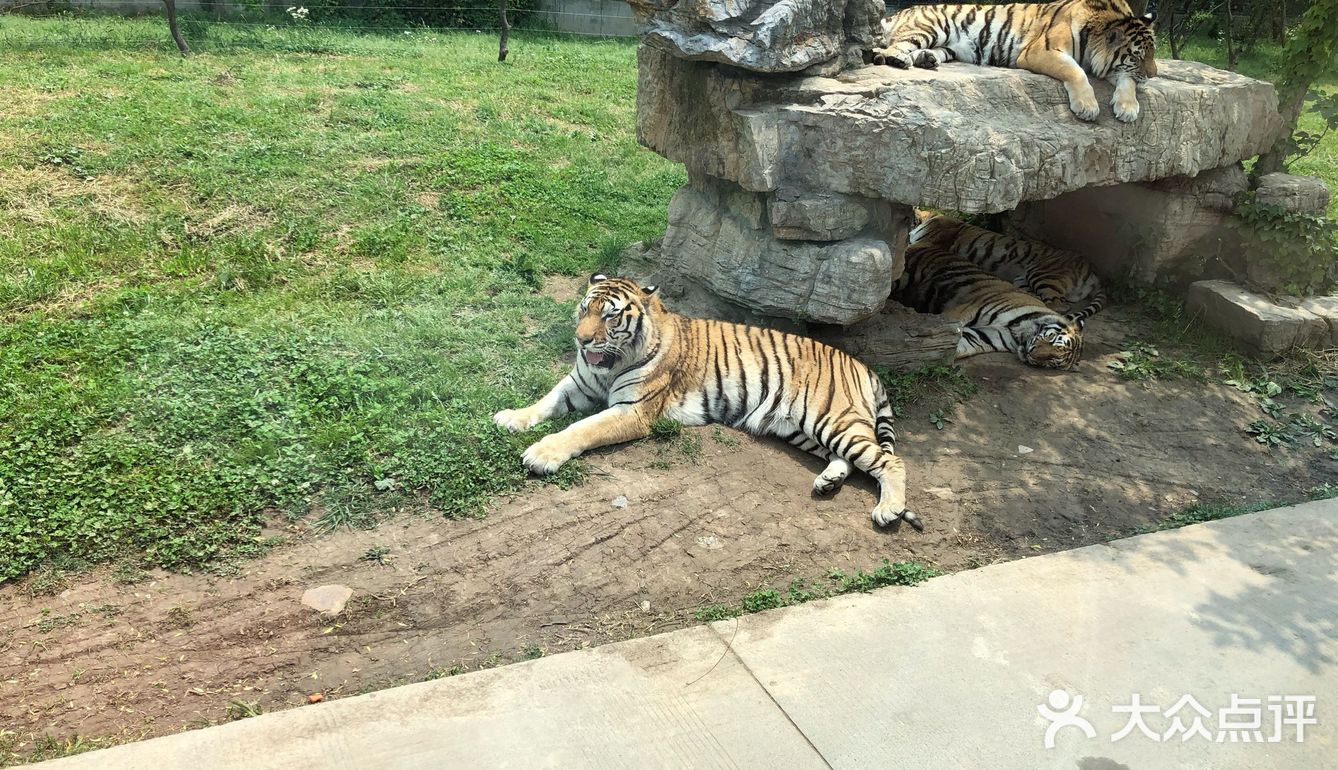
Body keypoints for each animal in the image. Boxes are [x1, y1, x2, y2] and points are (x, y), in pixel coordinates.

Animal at [492, 274, 920, 532]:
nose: (581, 341)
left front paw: (541, 454)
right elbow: (545, 401)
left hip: (831, 419)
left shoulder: (632, 411)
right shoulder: (577, 383)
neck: (610, 364)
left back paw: (888, 511)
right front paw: (510, 418)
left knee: (889, 461)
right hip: (799, 428)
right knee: (848, 460)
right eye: (585, 308)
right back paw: (828, 482)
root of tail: (863, 365)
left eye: (610, 317)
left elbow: (580, 428)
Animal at [872, 0, 1156, 122]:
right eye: (1138, 56)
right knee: (894, 46)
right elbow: (1075, 71)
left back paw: (927, 59)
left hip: (950, 47)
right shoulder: (1040, 50)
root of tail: (903, 10)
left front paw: (1128, 108)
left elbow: (1128, 80)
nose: (1153, 74)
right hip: (932, 27)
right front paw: (1087, 107)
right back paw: (898, 59)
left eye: (1152, 55)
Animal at [893, 242, 1081, 372]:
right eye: (1053, 339)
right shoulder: (966, 310)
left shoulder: (984, 337)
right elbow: (947, 331)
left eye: (1053, 362)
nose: (1031, 355)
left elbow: (956, 345)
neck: (1019, 334)